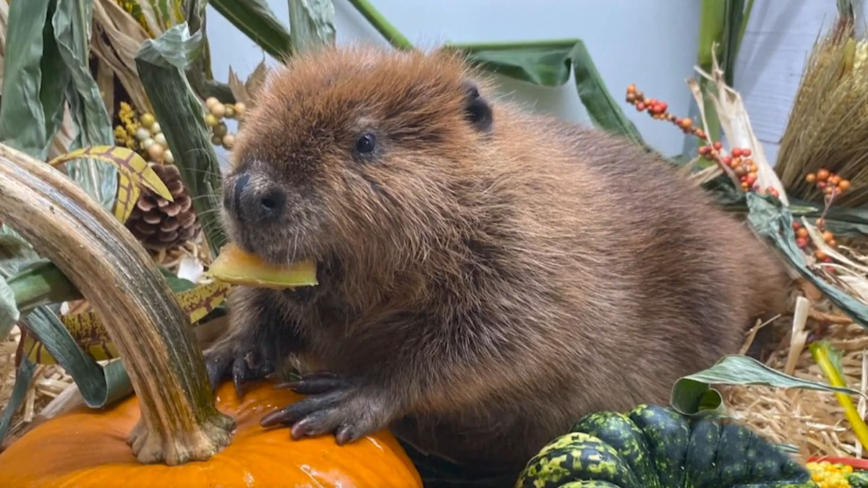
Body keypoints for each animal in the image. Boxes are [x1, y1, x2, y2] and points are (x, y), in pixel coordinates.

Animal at [203, 43, 788, 478]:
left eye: (366, 141)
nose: (248, 192)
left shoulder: (534, 269)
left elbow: (483, 353)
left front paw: (341, 398)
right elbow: (257, 299)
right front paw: (223, 355)